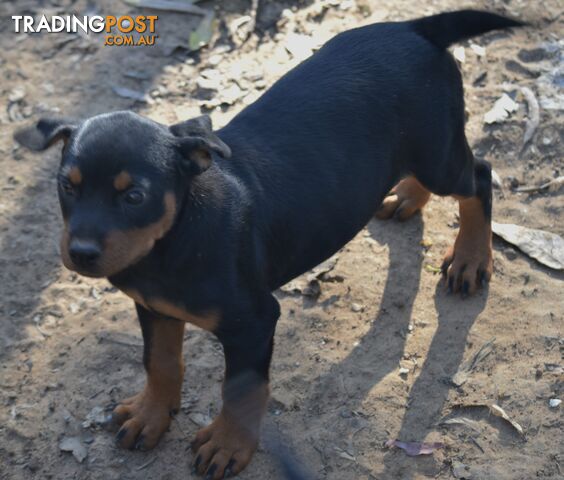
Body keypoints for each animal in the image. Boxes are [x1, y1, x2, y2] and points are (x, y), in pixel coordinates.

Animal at [15, 9, 524, 478]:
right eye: (67, 187)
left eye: (134, 196)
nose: (81, 253)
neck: (174, 238)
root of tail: (414, 27)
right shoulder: (152, 307)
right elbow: (160, 362)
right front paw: (150, 415)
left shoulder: (254, 321)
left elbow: (241, 389)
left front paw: (228, 445)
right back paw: (406, 197)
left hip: (439, 151)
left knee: (479, 177)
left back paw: (470, 259)